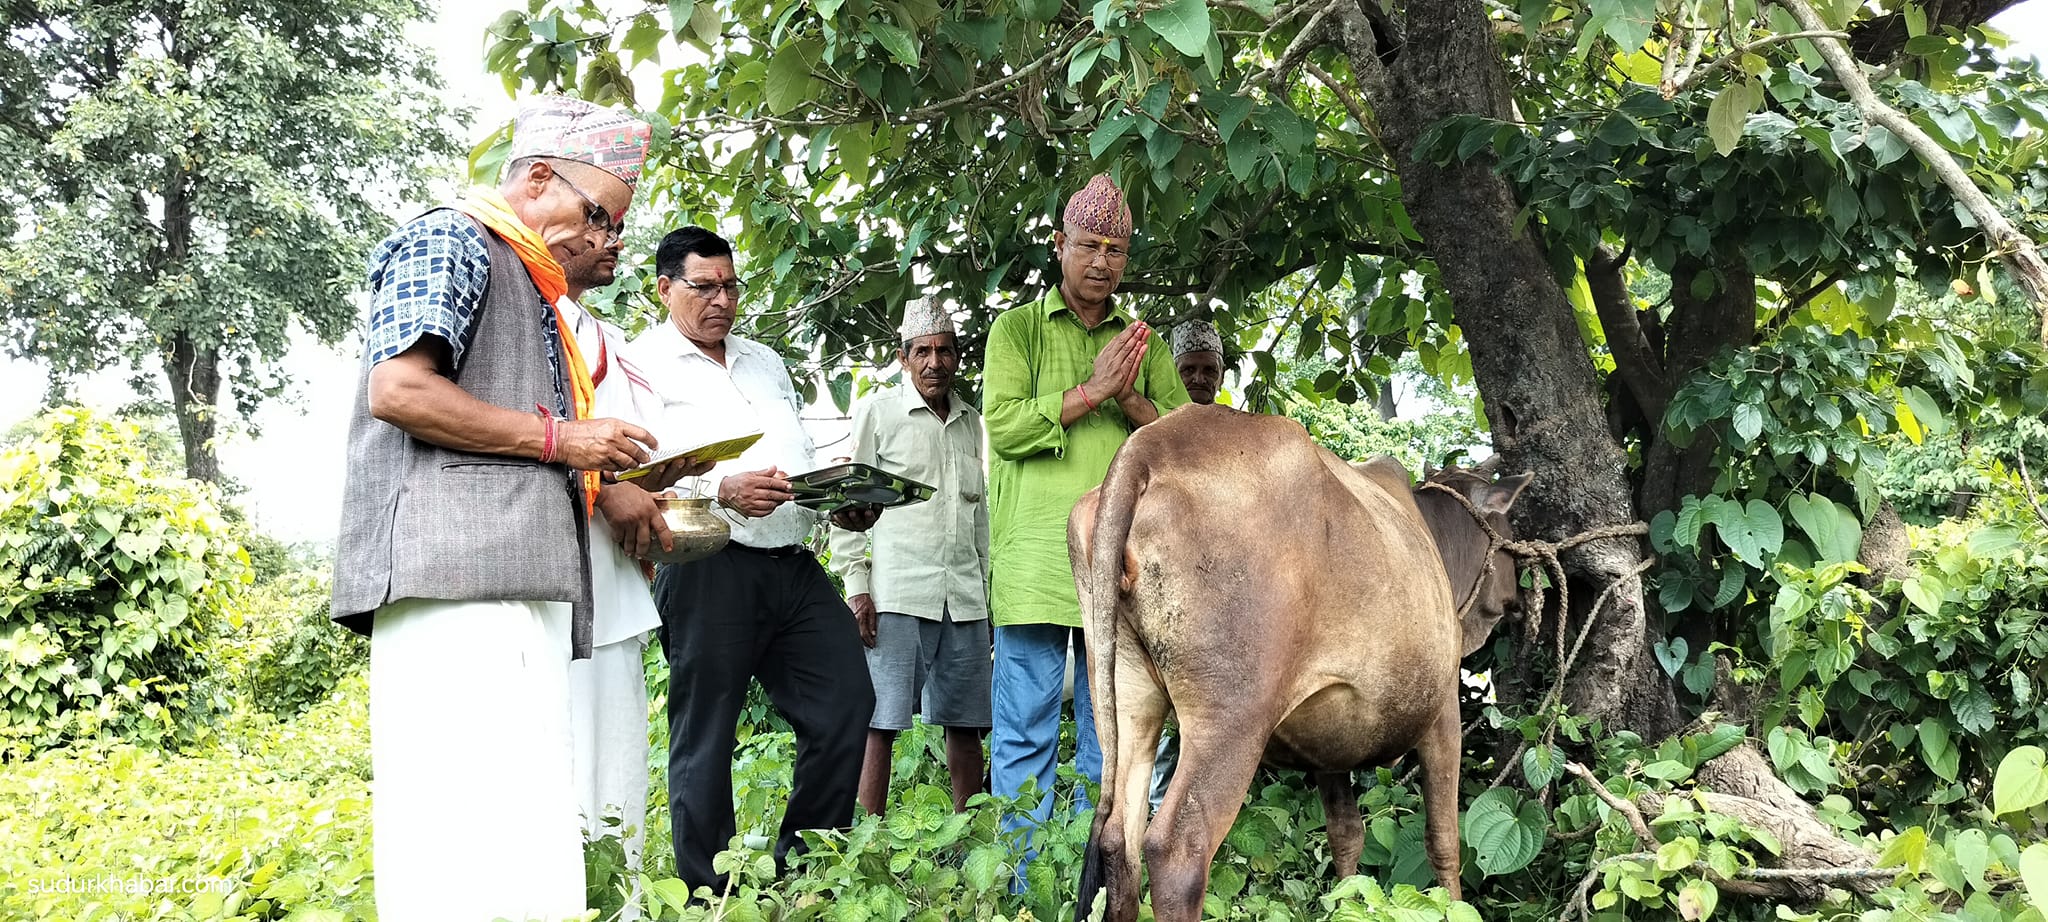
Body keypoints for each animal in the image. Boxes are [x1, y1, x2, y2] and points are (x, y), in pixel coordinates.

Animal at [1073, 405, 1523, 922]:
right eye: (1511, 532)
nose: (1519, 597)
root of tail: (1146, 448)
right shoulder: (1444, 708)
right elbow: (1444, 838)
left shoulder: (1328, 737)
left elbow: (1346, 835)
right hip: (1232, 720)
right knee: (1176, 851)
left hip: (1126, 697)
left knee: (1117, 841)